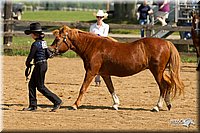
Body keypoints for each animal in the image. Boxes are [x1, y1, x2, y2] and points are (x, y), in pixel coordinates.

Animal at [49, 25, 184, 111]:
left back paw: (157, 107)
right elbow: (111, 88)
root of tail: (167, 43)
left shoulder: (91, 72)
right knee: (168, 83)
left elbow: (83, 88)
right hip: (161, 71)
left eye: (58, 39)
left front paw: (75, 105)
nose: (49, 50)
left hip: (157, 71)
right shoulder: (104, 74)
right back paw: (168, 104)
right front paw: (115, 104)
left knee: (163, 87)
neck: (93, 47)